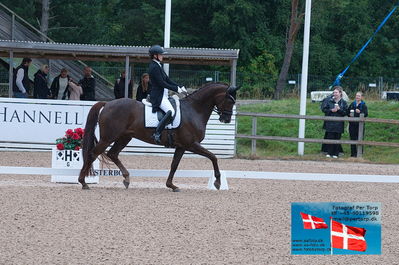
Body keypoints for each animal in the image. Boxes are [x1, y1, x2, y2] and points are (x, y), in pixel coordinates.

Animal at [79, 82, 239, 190]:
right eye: (230, 100)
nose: (226, 119)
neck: (194, 109)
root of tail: (107, 104)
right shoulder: (192, 144)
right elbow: (213, 157)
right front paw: (217, 182)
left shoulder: (182, 146)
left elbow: (174, 165)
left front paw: (171, 185)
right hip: (108, 138)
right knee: (93, 154)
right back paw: (83, 182)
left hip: (124, 137)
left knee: (112, 154)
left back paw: (126, 179)